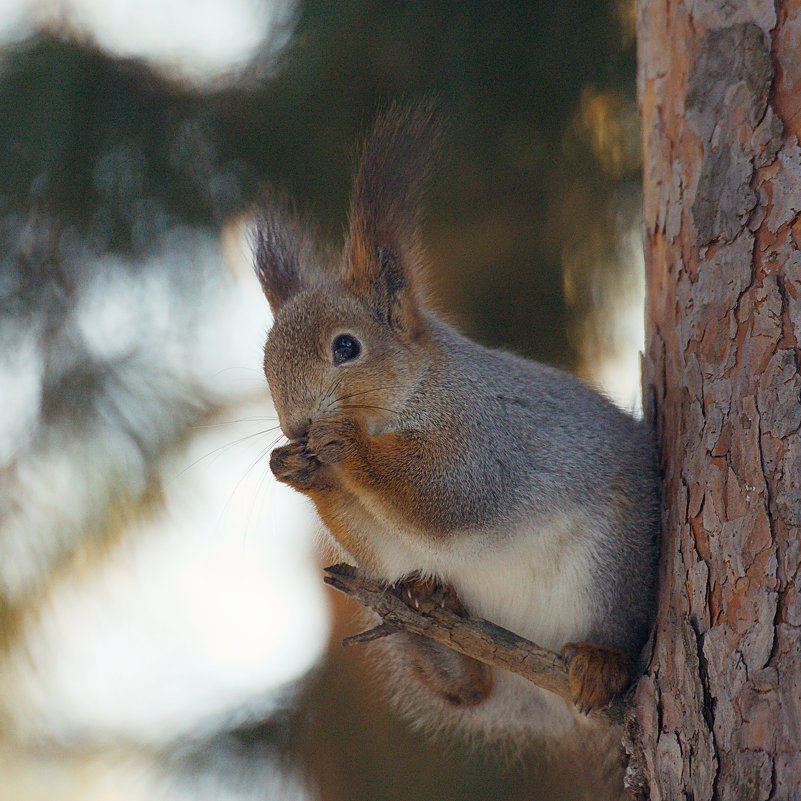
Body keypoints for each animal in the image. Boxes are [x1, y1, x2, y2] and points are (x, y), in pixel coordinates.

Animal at [253, 103, 660, 740]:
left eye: (346, 347)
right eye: (266, 363)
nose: (297, 429)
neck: (416, 395)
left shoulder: (487, 437)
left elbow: (447, 499)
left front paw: (344, 445)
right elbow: (384, 545)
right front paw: (297, 469)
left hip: (613, 563)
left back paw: (601, 661)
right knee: (467, 686)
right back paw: (441, 609)